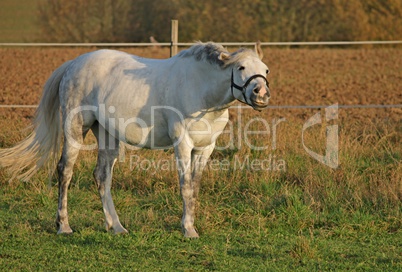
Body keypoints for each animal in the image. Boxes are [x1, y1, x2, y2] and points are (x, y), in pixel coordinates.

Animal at [0, 41, 270, 237]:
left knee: (101, 176)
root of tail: (73, 64)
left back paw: (116, 227)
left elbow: (194, 187)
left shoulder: (205, 148)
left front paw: (190, 226)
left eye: (265, 69)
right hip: (76, 130)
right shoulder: (183, 145)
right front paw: (188, 230)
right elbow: (185, 186)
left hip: (106, 134)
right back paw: (63, 226)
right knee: (65, 171)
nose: (261, 93)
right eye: (241, 68)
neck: (200, 89)